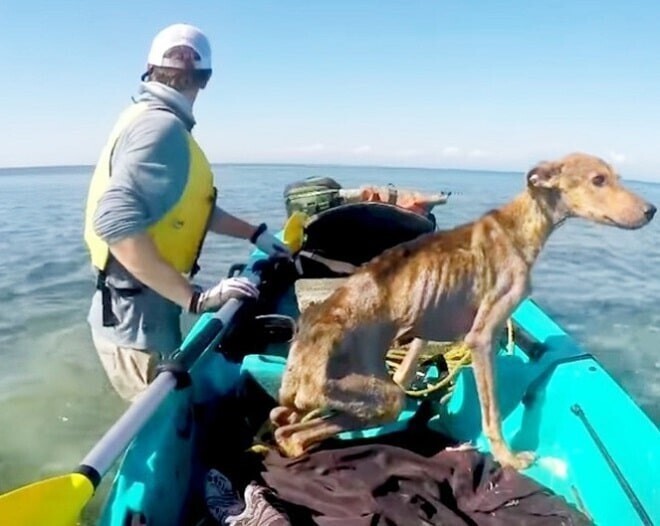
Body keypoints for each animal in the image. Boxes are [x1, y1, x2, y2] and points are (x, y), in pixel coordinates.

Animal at [268, 153, 656, 470]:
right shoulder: (482, 338)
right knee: (293, 434)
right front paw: (508, 459)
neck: (518, 226)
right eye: (598, 180)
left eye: (616, 177)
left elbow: (409, 365)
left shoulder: (427, 325)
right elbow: (492, 413)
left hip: (338, 397)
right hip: (378, 397)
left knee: (285, 424)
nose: (651, 210)